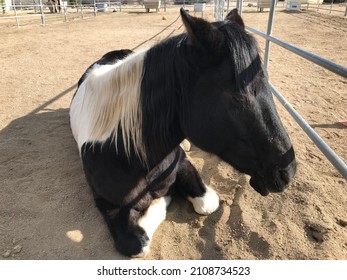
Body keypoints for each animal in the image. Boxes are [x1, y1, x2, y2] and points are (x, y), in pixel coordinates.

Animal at [70, 8, 296, 258]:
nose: (287, 172)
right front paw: (160, 200)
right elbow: (137, 243)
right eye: (236, 96)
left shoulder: (184, 166)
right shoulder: (107, 205)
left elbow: (207, 203)